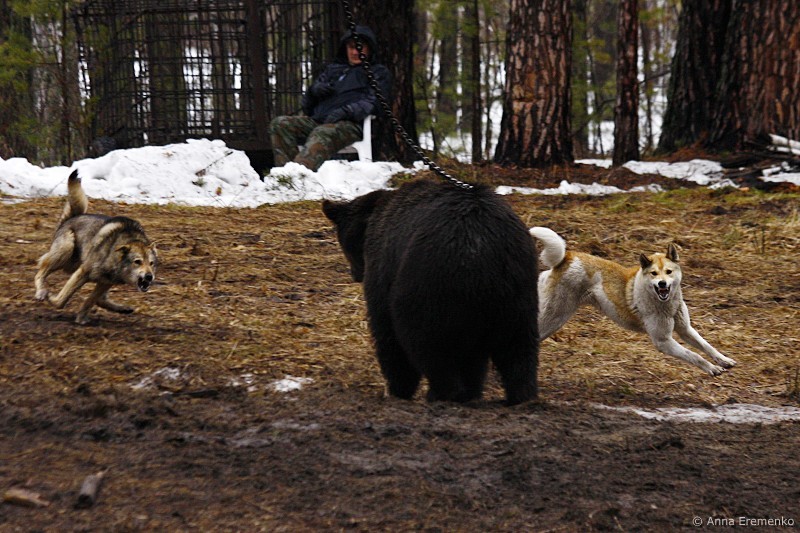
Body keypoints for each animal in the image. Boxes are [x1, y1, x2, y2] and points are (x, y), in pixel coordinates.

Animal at [34, 170, 157, 324]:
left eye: (151, 263)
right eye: (138, 262)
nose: (149, 277)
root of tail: (73, 217)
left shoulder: (106, 282)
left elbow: (90, 301)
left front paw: (81, 318)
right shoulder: (83, 272)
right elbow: (62, 300)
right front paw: (51, 298)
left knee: (101, 300)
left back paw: (122, 308)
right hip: (65, 253)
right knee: (41, 271)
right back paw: (41, 292)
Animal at [322, 179, 539, 405]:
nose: (355, 274)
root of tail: (482, 249)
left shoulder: (383, 266)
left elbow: (387, 332)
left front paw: (398, 389)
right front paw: (472, 391)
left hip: (429, 286)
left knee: (429, 345)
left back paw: (440, 393)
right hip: (517, 288)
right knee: (518, 346)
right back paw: (521, 395)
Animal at [529, 226, 736, 375]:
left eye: (669, 272)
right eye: (654, 274)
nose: (662, 284)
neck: (665, 305)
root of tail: (566, 258)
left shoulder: (685, 329)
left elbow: (706, 345)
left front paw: (724, 360)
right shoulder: (664, 341)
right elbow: (693, 355)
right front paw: (712, 368)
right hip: (554, 317)